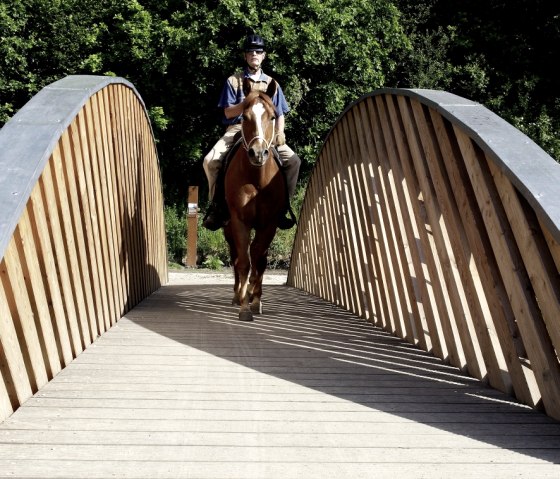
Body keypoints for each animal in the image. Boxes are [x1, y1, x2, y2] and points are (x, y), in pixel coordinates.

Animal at [222, 79, 286, 322]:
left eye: (272, 116)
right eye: (245, 116)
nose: (258, 153)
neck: (258, 180)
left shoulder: (269, 224)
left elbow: (259, 262)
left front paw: (256, 301)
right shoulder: (240, 221)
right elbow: (244, 262)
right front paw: (243, 307)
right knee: (236, 258)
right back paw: (237, 296)